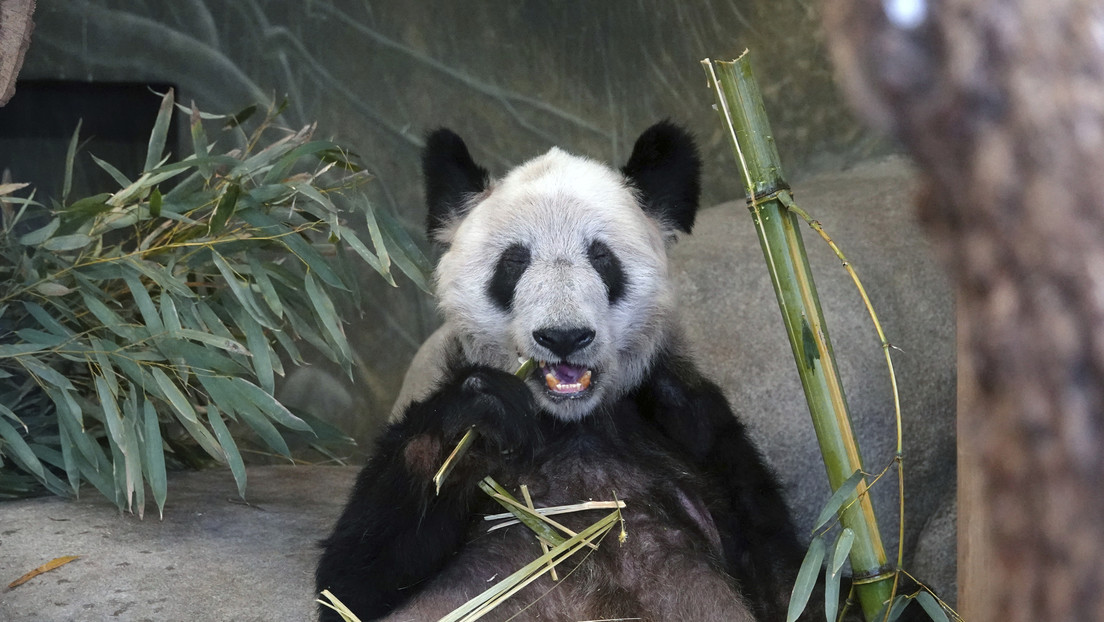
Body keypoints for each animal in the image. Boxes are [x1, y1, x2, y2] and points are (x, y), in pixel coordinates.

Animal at [320, 123, 812, 622]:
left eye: (602, 257)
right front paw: (481, 410)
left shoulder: (698, 435)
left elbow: (784, 577)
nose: (563, 336)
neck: (569, 422)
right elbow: (352, 580)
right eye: (514, 261)